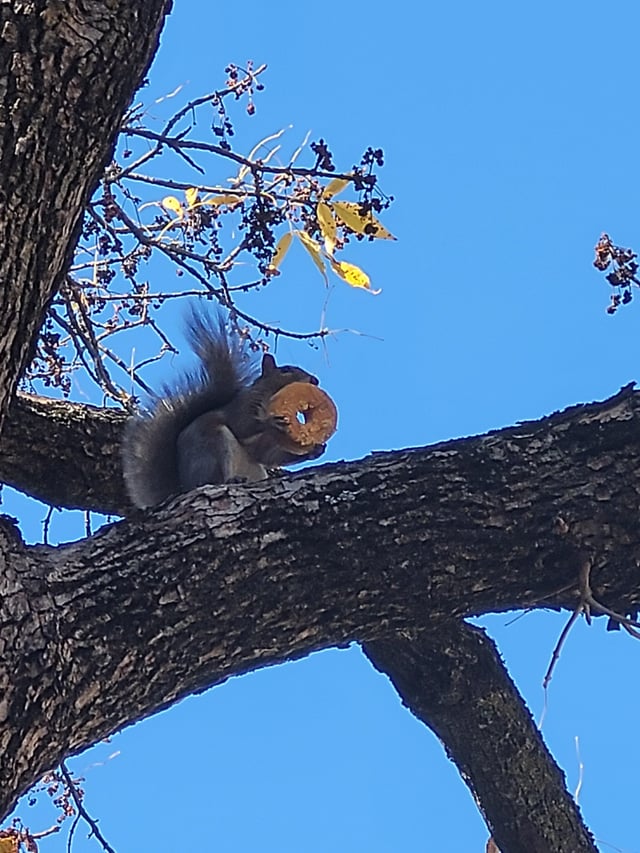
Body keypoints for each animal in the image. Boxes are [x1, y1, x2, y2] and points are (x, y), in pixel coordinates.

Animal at [122, 309, 326, 508]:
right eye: (286, 370)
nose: (315, 380)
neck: (267, 397)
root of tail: (184, 487)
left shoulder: (264, 445)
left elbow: (266, 454)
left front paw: (316, 450)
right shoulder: (242, 408)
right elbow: (242, 425)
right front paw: (270, 422)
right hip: (213, 446)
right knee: (213, 478)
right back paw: (230, 480)